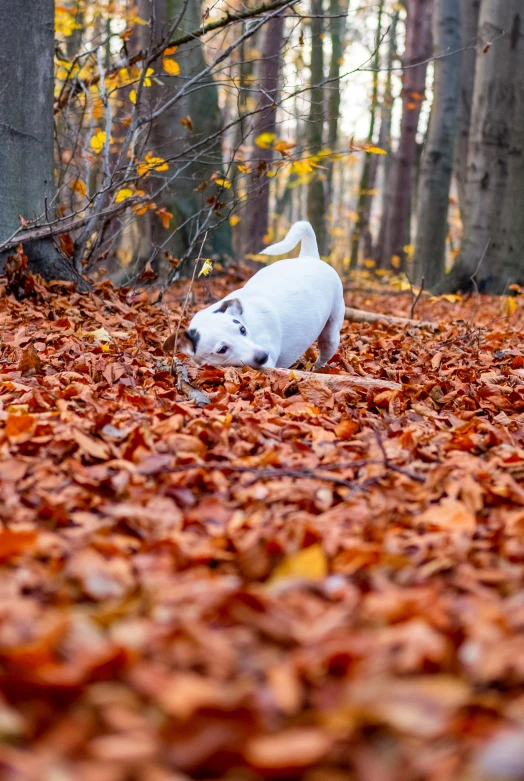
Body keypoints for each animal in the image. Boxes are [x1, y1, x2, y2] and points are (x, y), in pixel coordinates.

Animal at [178, 218, 346, 368]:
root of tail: (309, 256)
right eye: (222, 349)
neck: (249, 324)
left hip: (330, 336)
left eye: (242, 329)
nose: (263, 355)